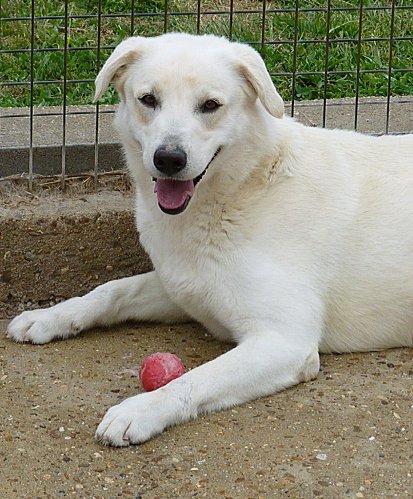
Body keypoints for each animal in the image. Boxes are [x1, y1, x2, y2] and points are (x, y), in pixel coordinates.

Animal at [5, 33, 408, 448]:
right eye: (148, 99)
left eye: (210, 105)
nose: (168, 158)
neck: (243, 189)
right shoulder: (184, 288)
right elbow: (113, 290)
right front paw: (50, 316)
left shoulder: (286, 342)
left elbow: (194, 378)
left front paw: (141, 409)